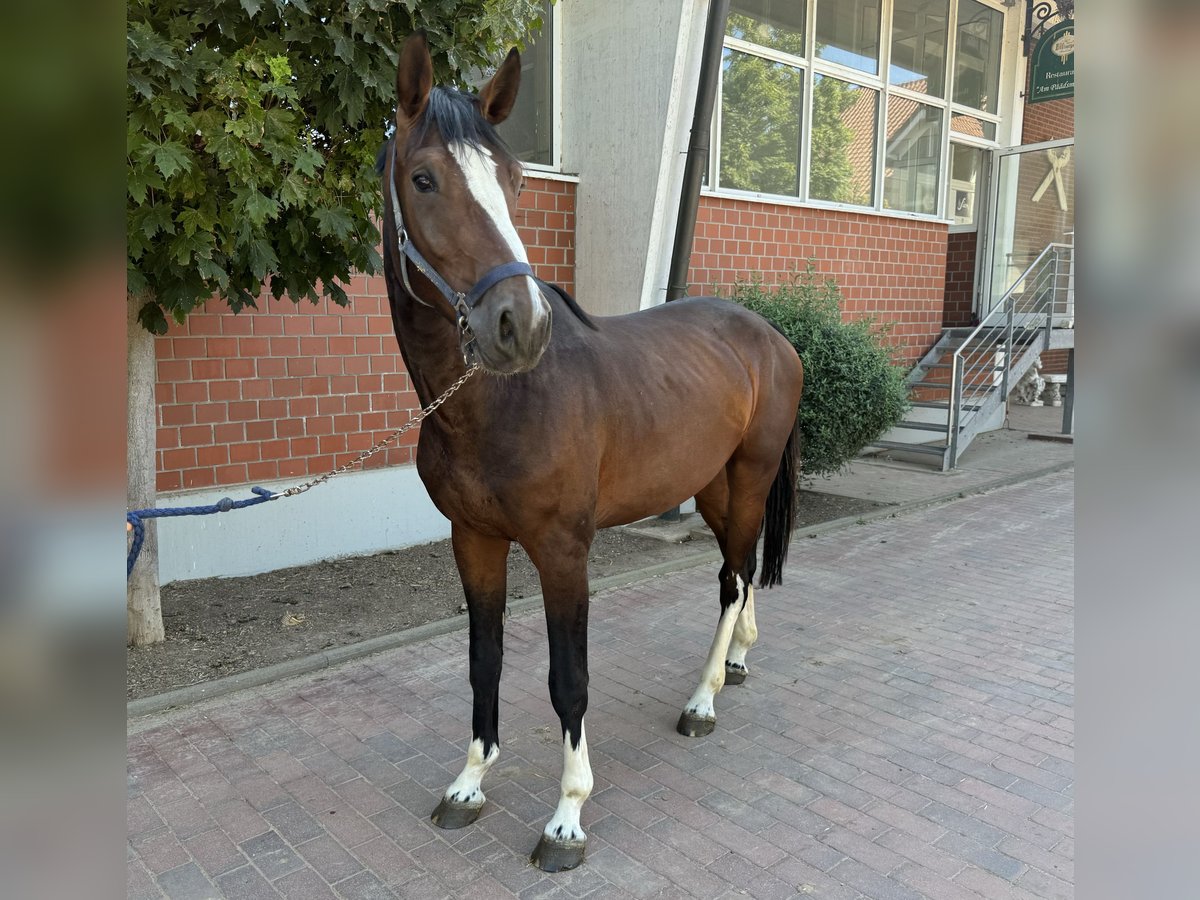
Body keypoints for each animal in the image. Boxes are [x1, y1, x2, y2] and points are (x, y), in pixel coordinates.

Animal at [379, 35, 801, 873]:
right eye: (423, 178)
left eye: (514, 179)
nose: (521, 324)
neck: (496, 406)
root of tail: (772, 335)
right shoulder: (473, 541)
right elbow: (483, 661)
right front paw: (468, 785)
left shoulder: (562, 550)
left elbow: (567, 681)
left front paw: (567, 818)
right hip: (710, 486)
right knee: (738, 573)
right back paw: (737, 660)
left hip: (749, 476)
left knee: (733, 580)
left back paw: (703, 698)